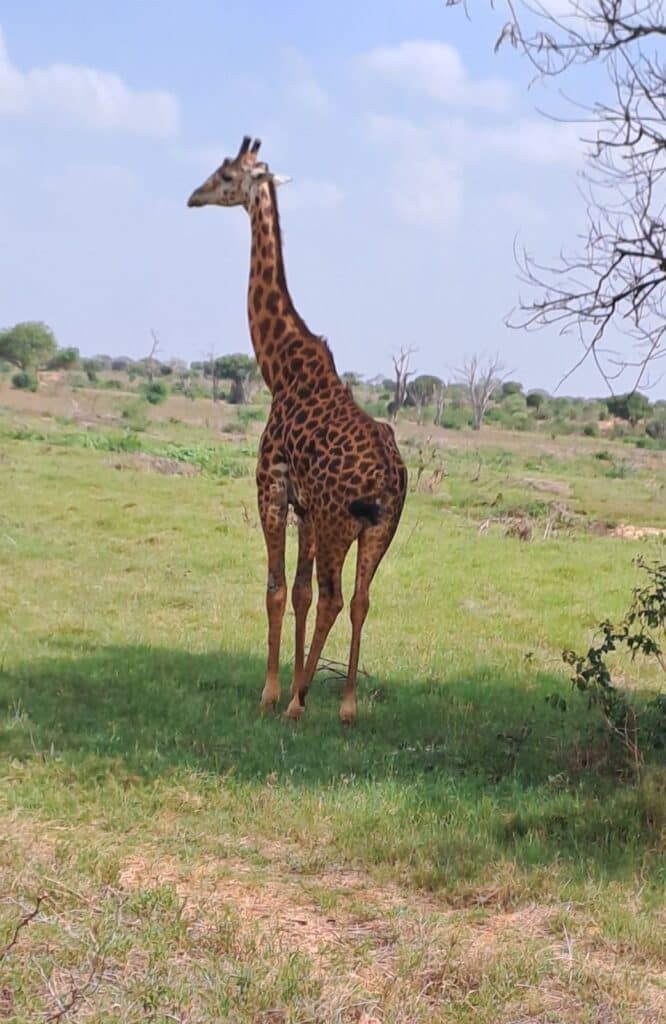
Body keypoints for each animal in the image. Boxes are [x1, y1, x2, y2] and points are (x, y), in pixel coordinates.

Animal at [188, 136, 407, 724]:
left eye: (225, 175)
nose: (193, 196)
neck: (280, 367)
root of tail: (389, 480)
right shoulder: (305, 507)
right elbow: (301, 594)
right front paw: (288, 685)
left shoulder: (272, 487)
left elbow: (276, 588)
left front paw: (271, 692)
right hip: (379, 530)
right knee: (359, 599)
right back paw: (346, 704)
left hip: (339, 524)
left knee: (335, 596)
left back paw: (300, 699)